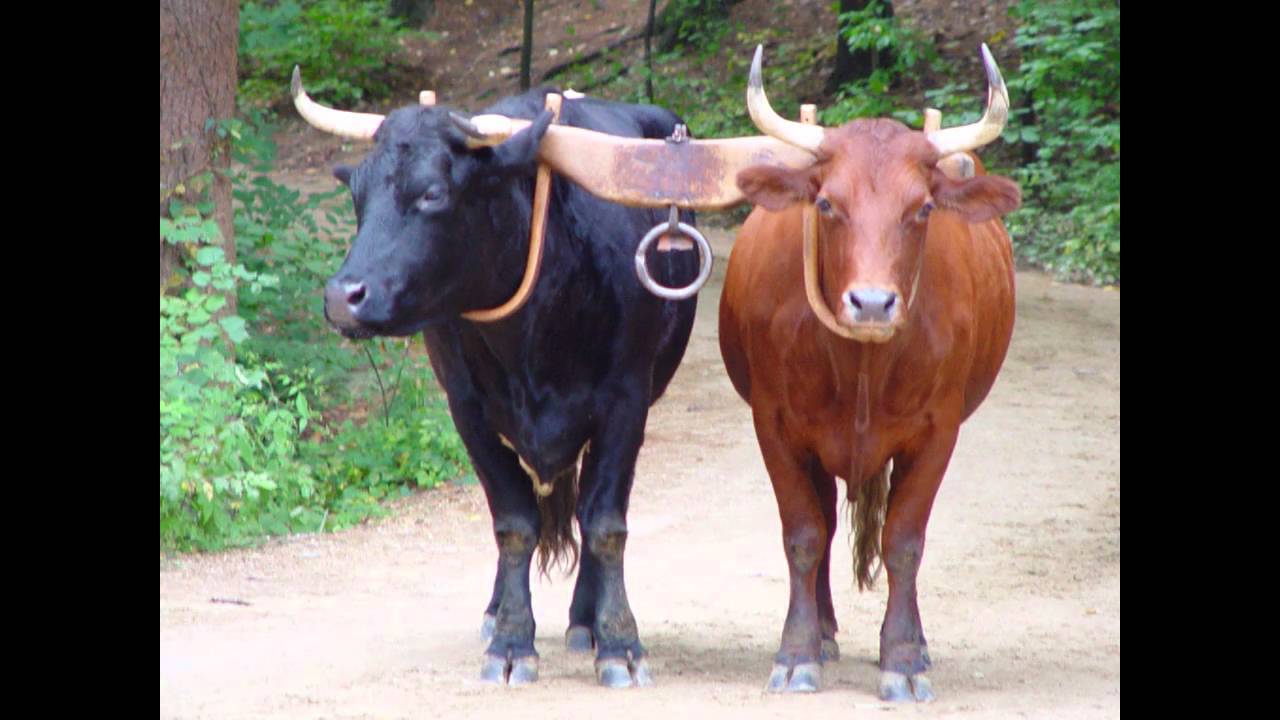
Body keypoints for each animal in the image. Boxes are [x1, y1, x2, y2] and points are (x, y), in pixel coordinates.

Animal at [291, 75, 701, 688]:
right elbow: (514, 523)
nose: (344, 296)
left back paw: (585, 619)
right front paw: (510, 639)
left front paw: (619, 642)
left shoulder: (627, 400)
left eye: (433, 193)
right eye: (357, 196)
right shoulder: (468, 410)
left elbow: (604, 523)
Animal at [718, 46, 1022, 701]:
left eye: (923, 207)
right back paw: (826, 632)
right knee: (827, 525)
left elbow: (904, 542)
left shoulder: (937, 433)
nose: (874, 303)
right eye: (827, 203)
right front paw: (798, 651)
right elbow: (804, 535)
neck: (860, 365)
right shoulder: (775, 426)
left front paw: (903, 657)